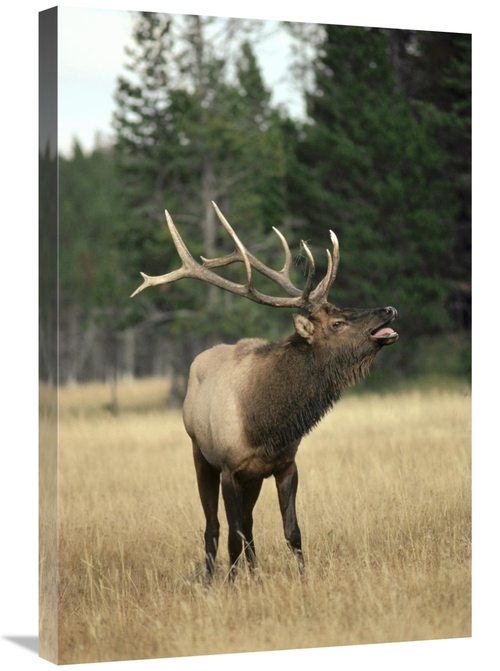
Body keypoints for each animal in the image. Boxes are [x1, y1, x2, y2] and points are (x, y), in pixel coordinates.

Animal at [131, 202, 398, 579]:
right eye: (337, 323)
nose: (388, 309)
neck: (265, 423)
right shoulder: (230, 468)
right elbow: (233, 534)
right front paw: (231, 583)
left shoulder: (284, 464)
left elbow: (291, 531)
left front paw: (302, 577)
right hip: (200, 454)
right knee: (214, 526)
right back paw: (213, 576)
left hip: (253, 478)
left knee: (249, 524)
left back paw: (254, 573)